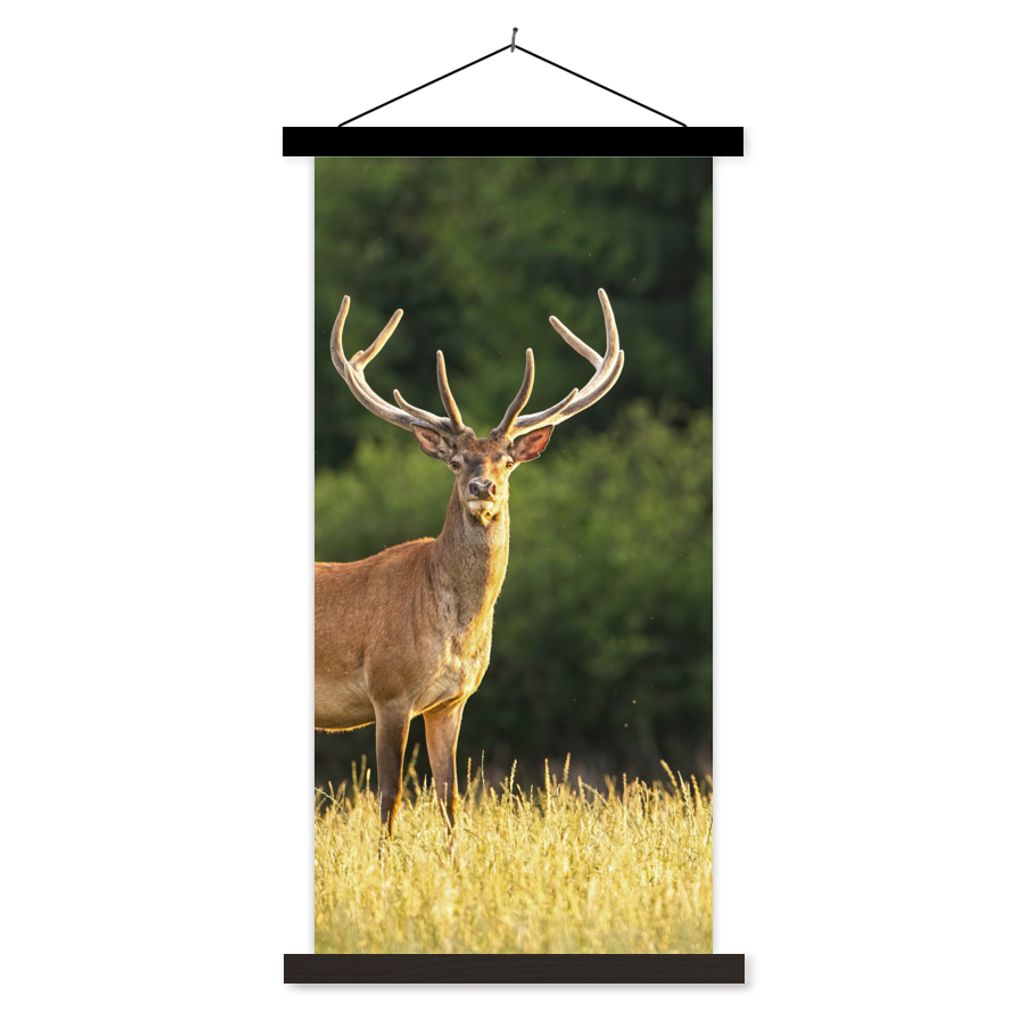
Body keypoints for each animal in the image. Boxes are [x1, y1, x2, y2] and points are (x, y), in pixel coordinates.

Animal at [315, 288, 624, 833]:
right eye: (456, 461)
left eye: (508, 460)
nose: (483, 488)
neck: (454, 631)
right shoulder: (388, 690)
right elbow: (390, 795)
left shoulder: (452, 700)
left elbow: (450, 796)